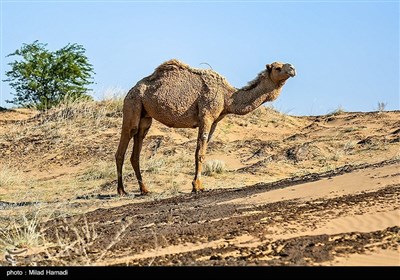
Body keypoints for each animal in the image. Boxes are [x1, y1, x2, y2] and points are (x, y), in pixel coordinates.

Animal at [114, 59, 296, 195]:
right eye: (278, 67)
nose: (293, 68)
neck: (227, 97)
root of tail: (131, 90)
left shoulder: (215, 122)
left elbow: (203, 150)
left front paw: (197, 185)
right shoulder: (206, 116)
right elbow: (200, 153)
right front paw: (197, 186)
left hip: (145, 117)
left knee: (136, 149)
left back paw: (144, 190)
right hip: (132, 104)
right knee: (123, 145)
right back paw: (122, 191)